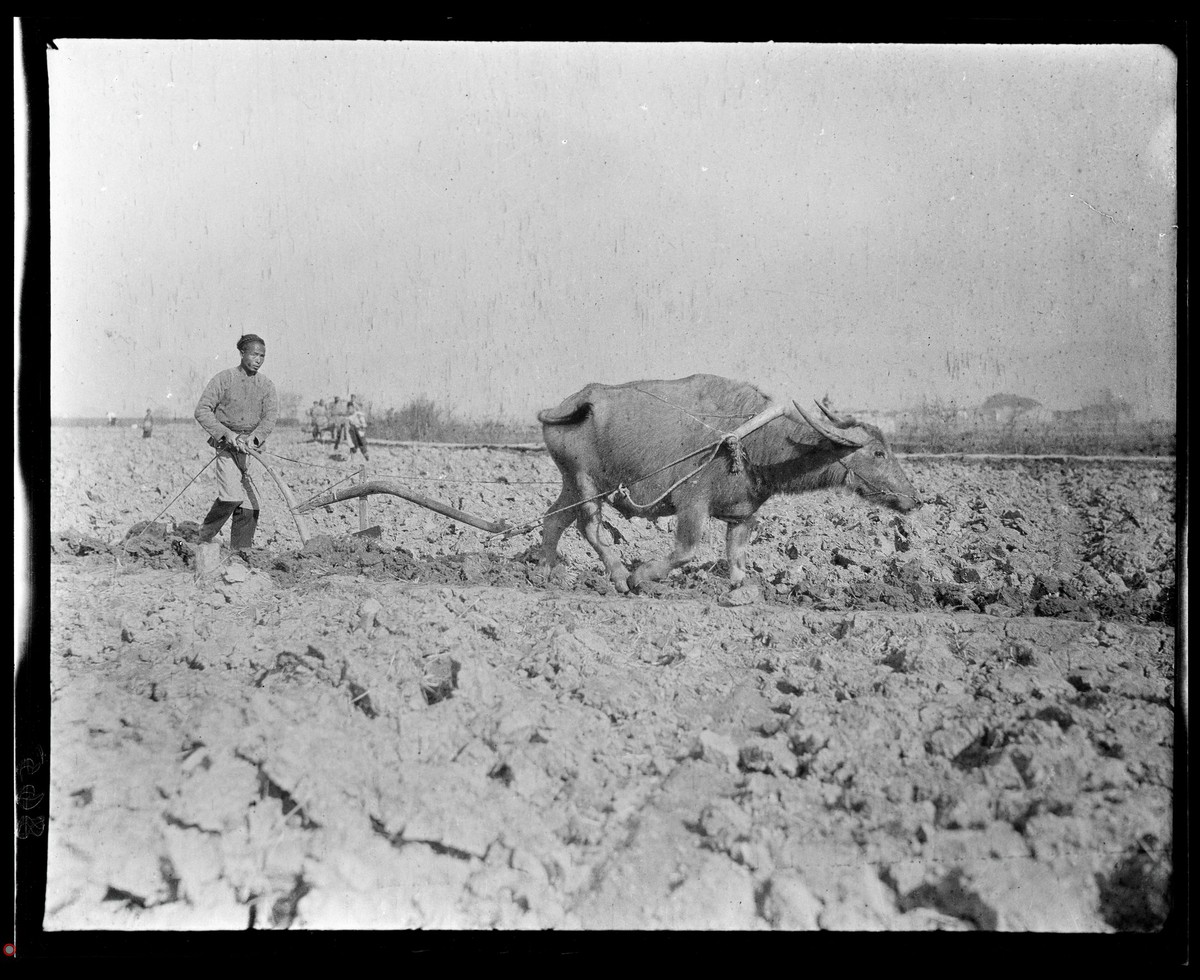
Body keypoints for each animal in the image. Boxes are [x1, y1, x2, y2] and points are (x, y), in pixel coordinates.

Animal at [540, 371, 921, 587]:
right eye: (878, 453)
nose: (915, 499)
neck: (755, 442)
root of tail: (570, 404)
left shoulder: (742, 516)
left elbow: (736, 558)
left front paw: (741, 589)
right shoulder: (692, 504)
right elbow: (686, 551)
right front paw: (641, 576)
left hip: (572, 483)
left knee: (553, 518)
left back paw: (545, 571)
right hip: (586, 482)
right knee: (590, 527)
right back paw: (619, 575)